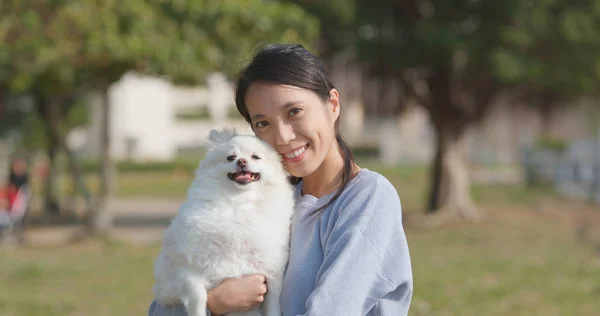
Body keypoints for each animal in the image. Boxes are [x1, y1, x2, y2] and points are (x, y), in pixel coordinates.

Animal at [152, 127, 296, 314]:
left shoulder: (271, 273)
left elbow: (273, 307)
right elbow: (197, 297)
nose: (242, 161)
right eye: (230, 157)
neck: (238, 201)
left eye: (255, 157)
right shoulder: (185, 267)